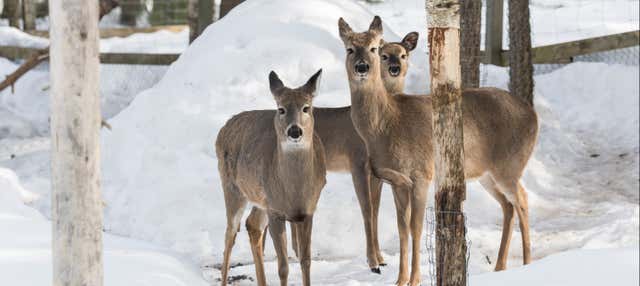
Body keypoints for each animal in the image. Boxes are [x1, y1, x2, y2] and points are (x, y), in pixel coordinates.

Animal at [218, 69, 328, 286]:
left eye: (306, 108)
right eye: (281, 109)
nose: (294, 130)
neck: (294, 191)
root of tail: (223, 128)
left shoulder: (308, 211)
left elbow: (305, 261)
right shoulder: (275, 210)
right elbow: (283, 267)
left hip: (260, 200)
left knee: (252, 225)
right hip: (232, 188)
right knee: (230, 235)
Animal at [340, 16, 540, 286]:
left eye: (372, 48)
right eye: (350, 49)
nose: (362, 67)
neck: (388, 125)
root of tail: (534, 115)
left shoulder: (421, 173)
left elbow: (416, 227)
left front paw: (414, 279)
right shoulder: (396, 180)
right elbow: (402, 228)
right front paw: (400, 279)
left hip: (509, 164)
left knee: (523, 200)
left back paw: (528, 263)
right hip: (486, 173)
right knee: (508, 205)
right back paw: (500, 266)